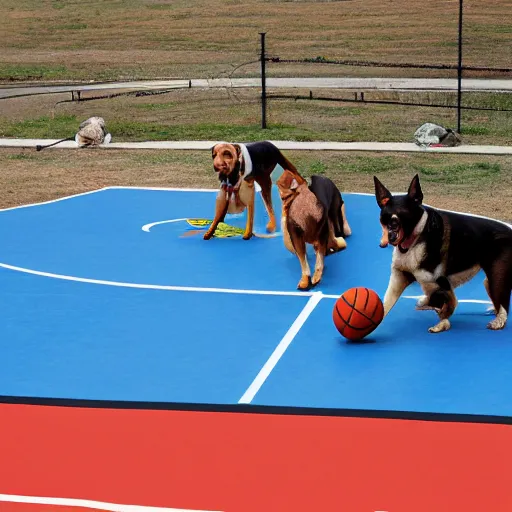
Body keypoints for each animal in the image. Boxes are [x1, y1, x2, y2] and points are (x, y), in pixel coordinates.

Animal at [374, 174, 510, 334]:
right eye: (384, 220)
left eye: (400, 219)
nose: (388, 240)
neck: (416, 239)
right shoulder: (399, 277)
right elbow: (385, 305)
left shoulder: (441, 284)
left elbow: (445, 304)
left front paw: (441, 321)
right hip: (488, 282)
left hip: (496, 278)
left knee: (503, 305)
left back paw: (498, 321)